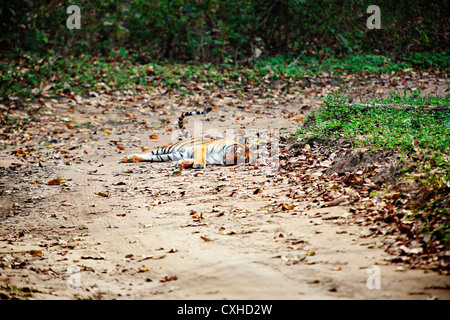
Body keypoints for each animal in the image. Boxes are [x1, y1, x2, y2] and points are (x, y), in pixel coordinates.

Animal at [118, 107, 253, 172]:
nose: (227, 162)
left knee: (148, 157)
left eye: (241, 159)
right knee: (148, 153)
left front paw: (183, 163)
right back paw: (125, 158)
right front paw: (198, 165)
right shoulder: (201, 148)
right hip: (167, 149)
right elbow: (201, 158)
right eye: (236, 152)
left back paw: (129, 159)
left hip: (169, 155)